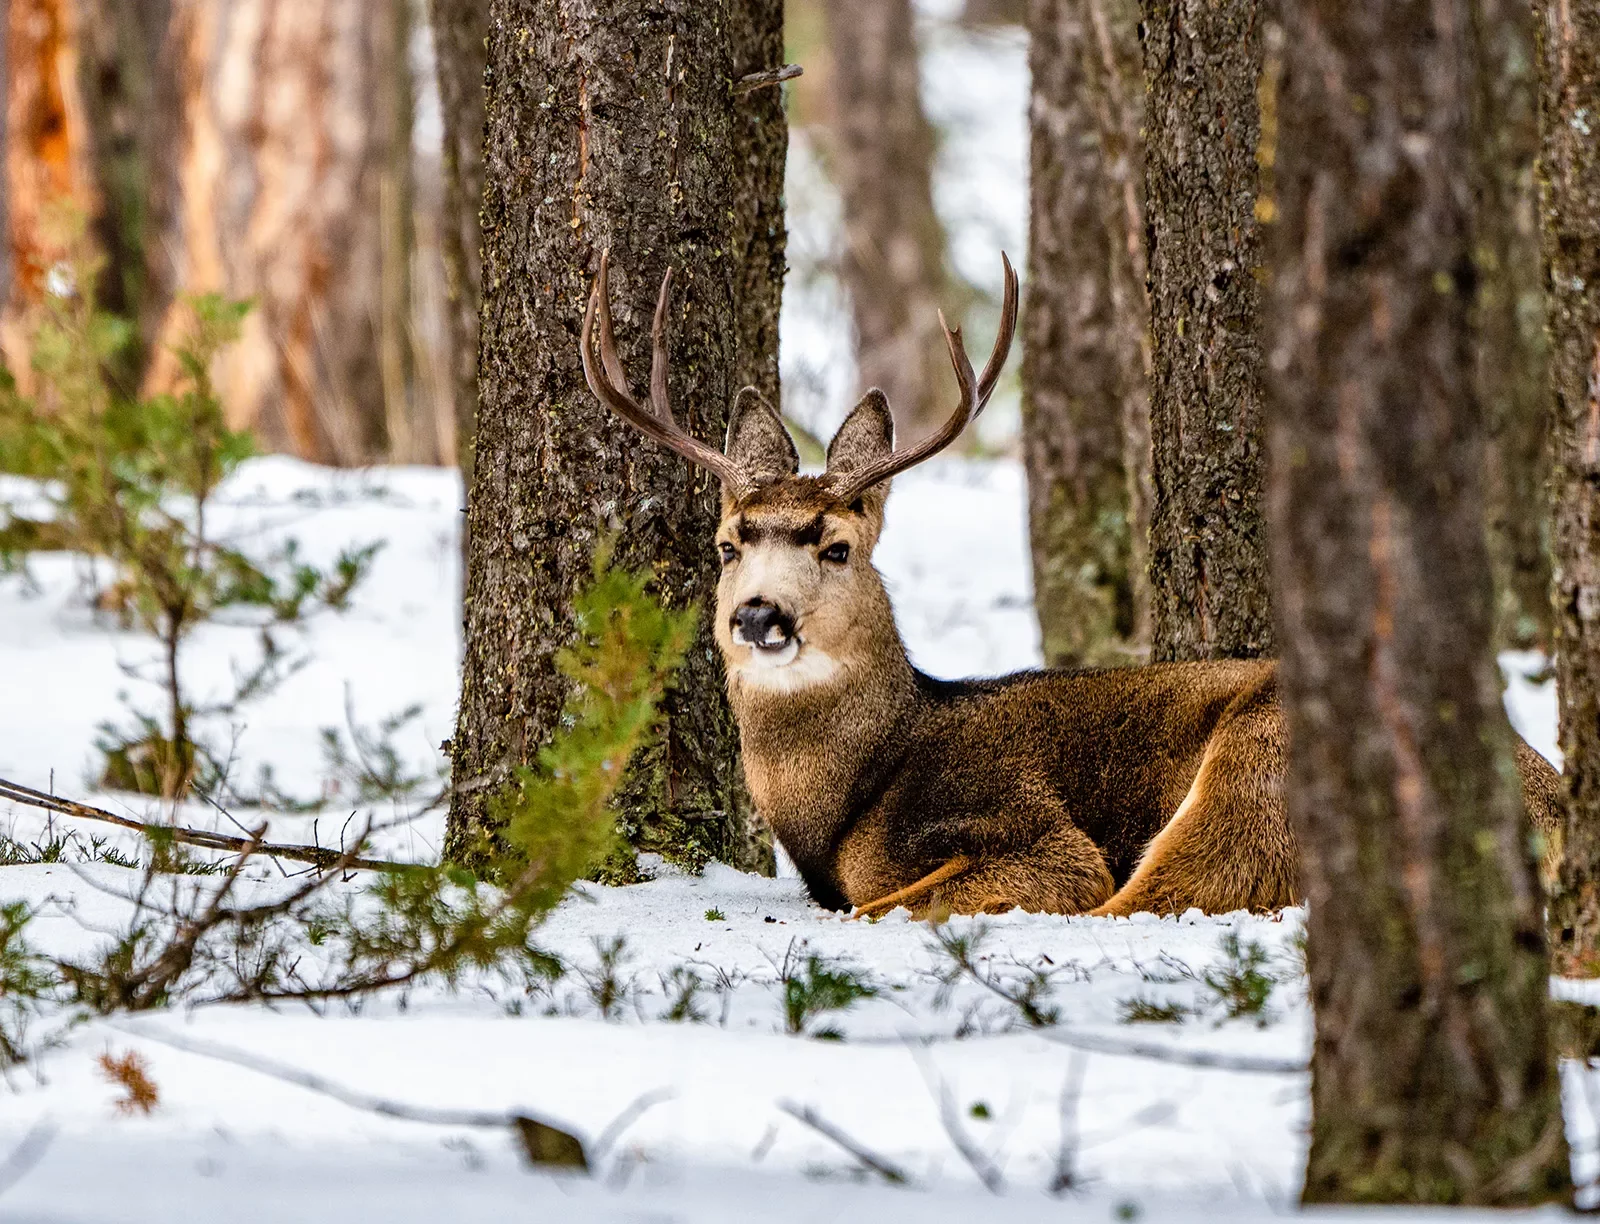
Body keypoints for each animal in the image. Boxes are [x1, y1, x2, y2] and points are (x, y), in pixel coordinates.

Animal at [579, 251, 1561, 915]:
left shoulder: (1032, 836)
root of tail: (1549, 806)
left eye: (838, 547)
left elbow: (889, 904)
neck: (849, 796)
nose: (759, 615)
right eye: (727, 544)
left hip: (1254, 772)